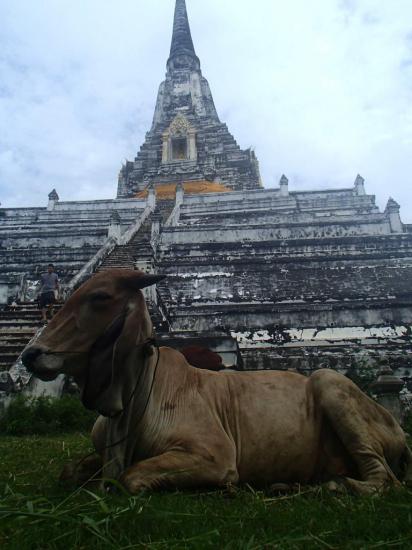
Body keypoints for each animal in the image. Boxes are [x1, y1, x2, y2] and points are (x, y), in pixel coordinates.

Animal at [21, 270, 412, 496]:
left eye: (100, 297)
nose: (30, 354)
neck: (129, 404)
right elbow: (69, 472)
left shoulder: (216, 455)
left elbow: (131, 478)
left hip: (330, 382)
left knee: (384, 479)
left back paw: (337, 486)